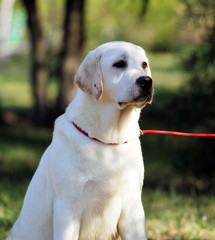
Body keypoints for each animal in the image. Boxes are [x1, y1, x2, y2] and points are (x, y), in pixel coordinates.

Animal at [7, 41, 154, 240]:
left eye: (144, 64)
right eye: (119, 64)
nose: (146, 81)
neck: (108, 139)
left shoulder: (133, 207)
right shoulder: (68, 208)